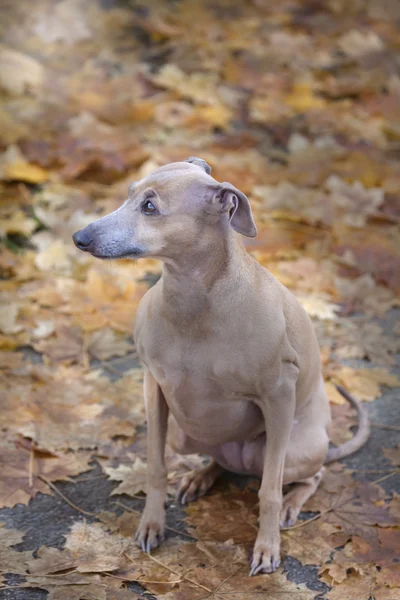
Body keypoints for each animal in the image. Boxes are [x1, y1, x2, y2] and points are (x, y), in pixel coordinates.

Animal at [73, 158, 370, 576]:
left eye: (150, 207)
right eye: (129, 193)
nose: (79, 237)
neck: (193, 301)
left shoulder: (279, 395)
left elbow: (268, 491)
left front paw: (267, 548)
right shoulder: (153, 385)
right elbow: (156, 466)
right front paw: (152, 524)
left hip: (297, 448)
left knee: (310, 474)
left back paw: (292, 504)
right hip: (186, 432)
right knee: (219, 460)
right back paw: (199, 477)